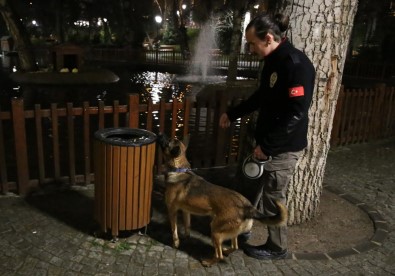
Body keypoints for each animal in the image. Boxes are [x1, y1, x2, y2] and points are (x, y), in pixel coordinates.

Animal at [158, 135, 288, 266]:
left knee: (219, 255)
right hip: (230, 232)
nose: (159, 134)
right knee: (235, 247)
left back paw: (208, 262)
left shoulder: (172, 210)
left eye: (168, 141)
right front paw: (186, 237)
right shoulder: (186, 211)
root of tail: (248, 207)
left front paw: (175, 243)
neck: (178, 170)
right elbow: (187, 226)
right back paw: (226, 250)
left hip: (215, 230)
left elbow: (174, 229)